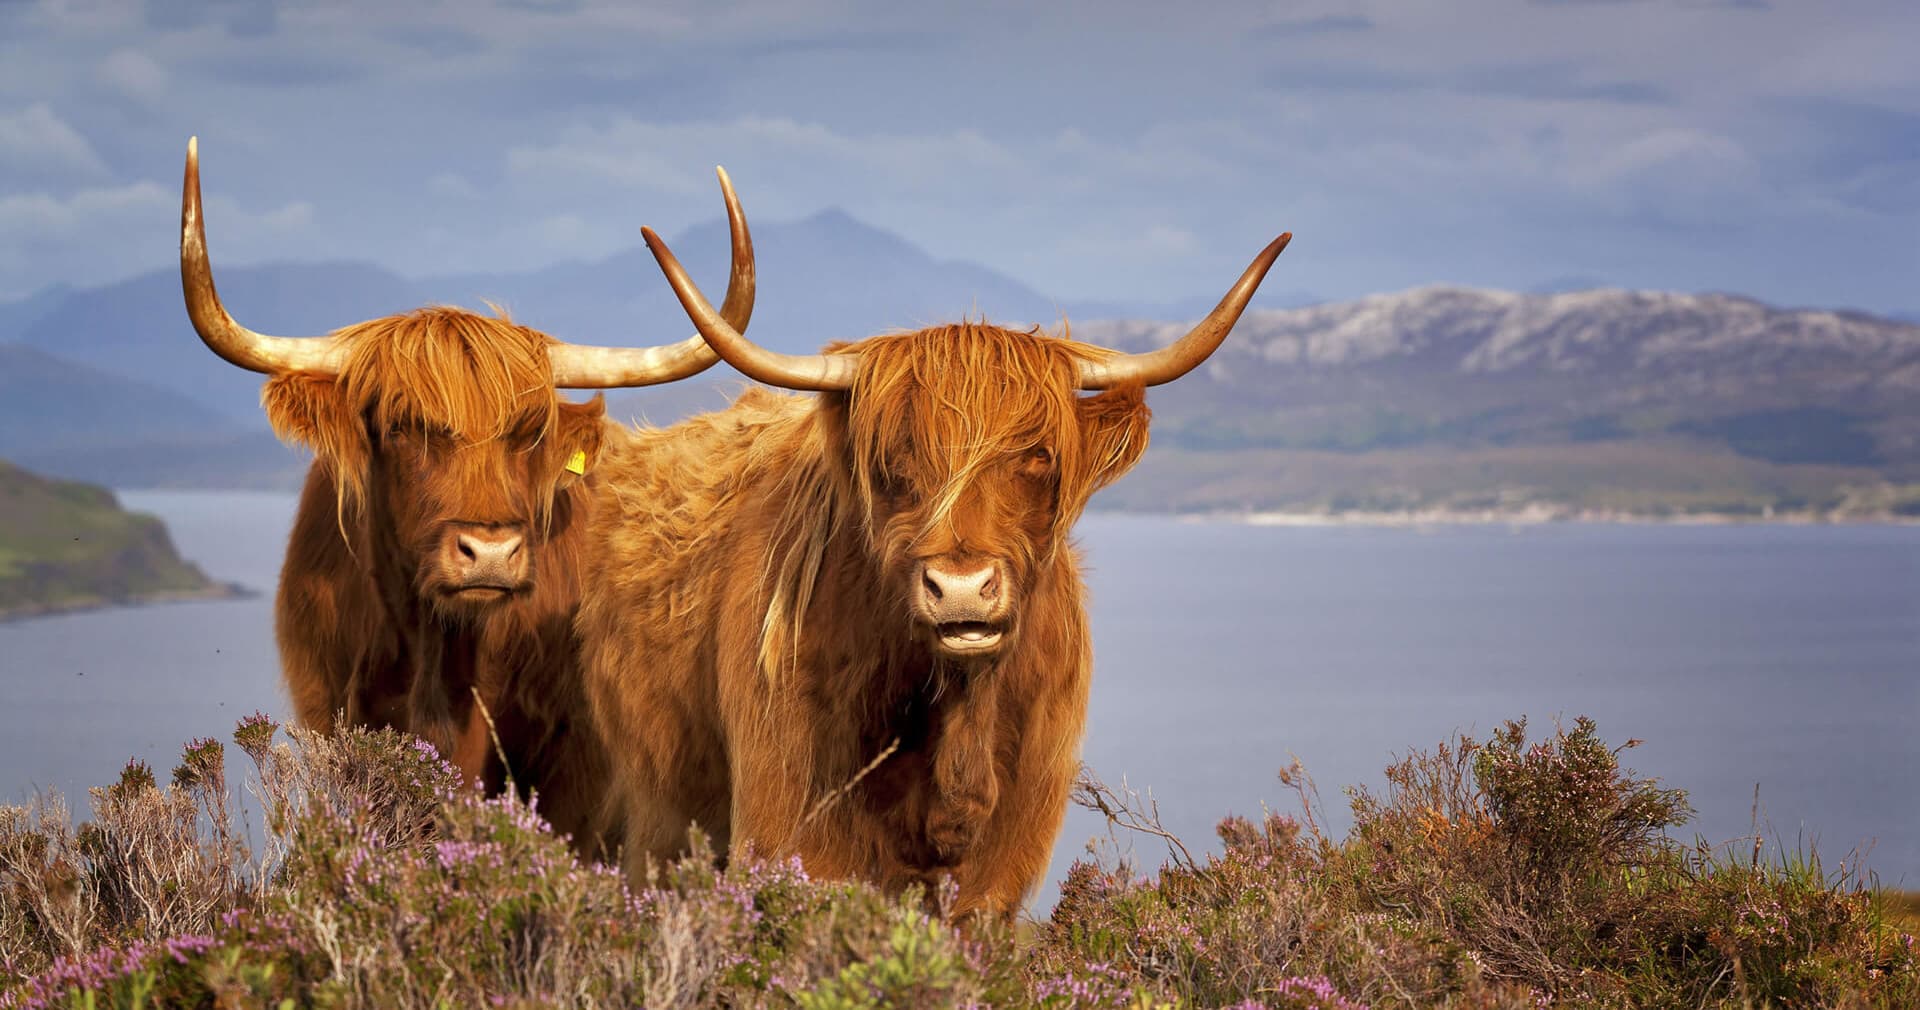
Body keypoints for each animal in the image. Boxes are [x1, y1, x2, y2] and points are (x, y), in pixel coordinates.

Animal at [576, 200, 1290, 915]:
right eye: (894, 459)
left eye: (1038, 454)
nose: (963, 587)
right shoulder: (794, 833)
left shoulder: (1000, 875)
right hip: (658, 820)